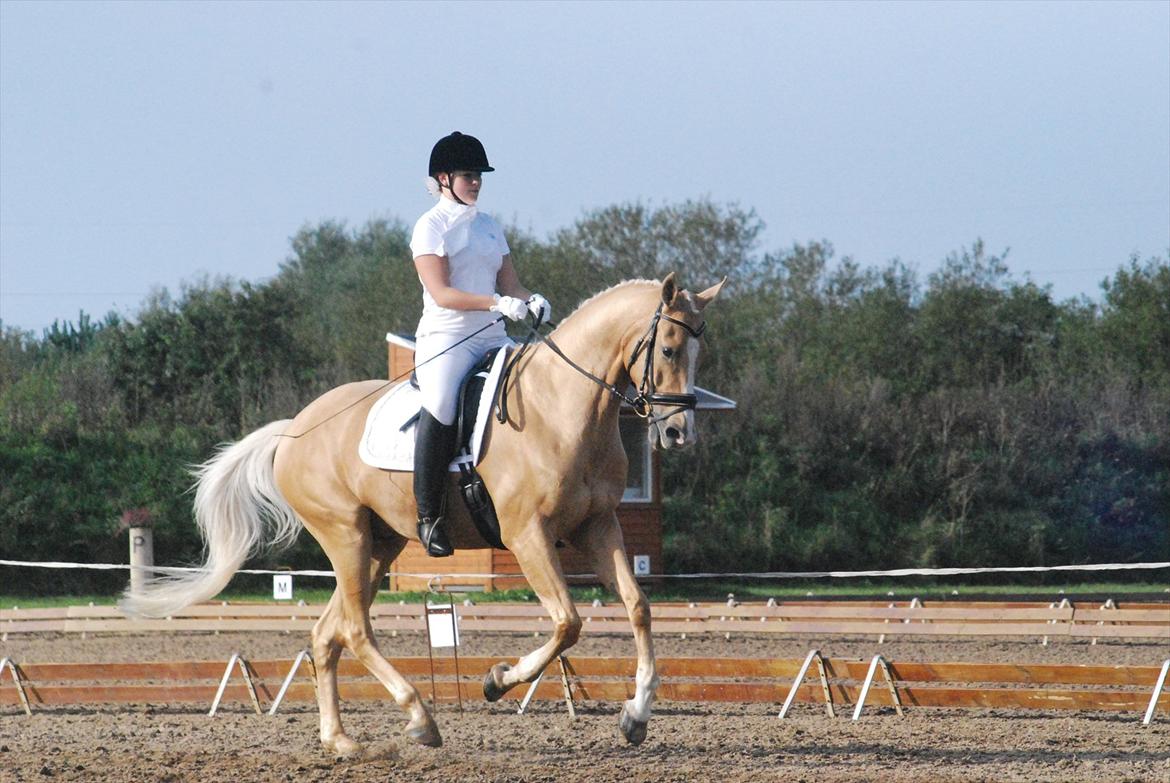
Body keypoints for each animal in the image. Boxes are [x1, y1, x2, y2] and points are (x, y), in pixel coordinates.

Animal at [118, 273, 720, 749]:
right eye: (668, 349)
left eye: (699, 355)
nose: (677, 433)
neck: (564, 407)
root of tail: (293, 429)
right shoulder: (527, 535)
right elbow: (568, 622)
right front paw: (498, 679)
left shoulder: (597, 526)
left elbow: (638, 607)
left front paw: (636, 716)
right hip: (346, 537)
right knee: (356, 630)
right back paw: (419, 718)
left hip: (379, 545)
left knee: (327, 634)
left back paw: (340, 740)